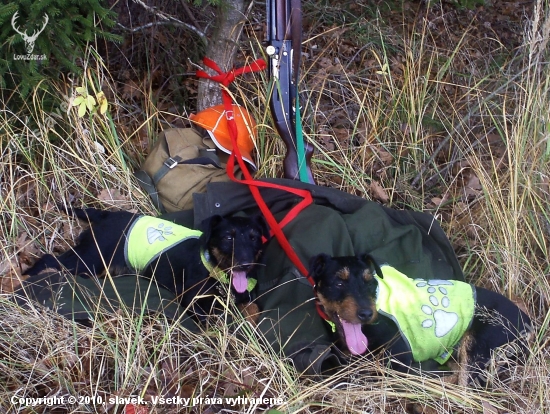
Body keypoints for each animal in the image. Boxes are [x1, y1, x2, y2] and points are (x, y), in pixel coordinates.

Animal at [24, 209, 270, 318]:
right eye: (228, 237)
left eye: (254, 237)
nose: (245, 264)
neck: (216, 271)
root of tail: (104, 215)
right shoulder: (191, 299)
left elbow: (253, 307)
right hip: (90, 259)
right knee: (50, 260)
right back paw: (27, 277)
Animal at [310, 254, 536, 384]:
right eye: (339, 283)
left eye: (370, 282)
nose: (366, 313)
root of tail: (528, 323)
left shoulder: (399, 362)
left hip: (479, 346)